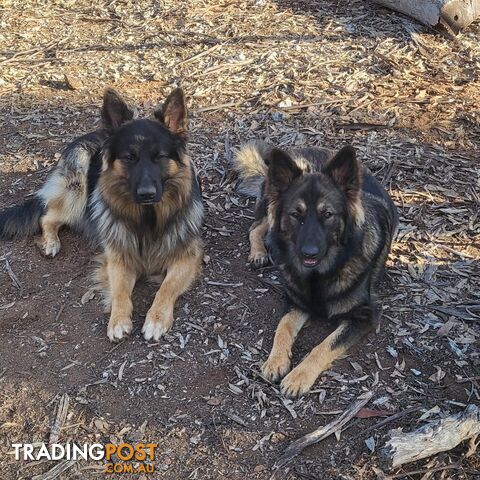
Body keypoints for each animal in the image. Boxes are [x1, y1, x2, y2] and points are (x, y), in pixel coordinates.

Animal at [0, 88, 203, 344]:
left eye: (160, 157)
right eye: (129, 157)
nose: (146, 193)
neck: (147, 218)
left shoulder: (186, 258)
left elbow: (166, 288)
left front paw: (156, 320)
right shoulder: (117, 259)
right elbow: (120, 291)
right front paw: (118, 321)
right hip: (78, 189)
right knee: (47, 217)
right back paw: (51, 243)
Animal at [235, 142, 398, 398]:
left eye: (327, 214)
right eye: (296, 214)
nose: (308, 253)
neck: (319, 276)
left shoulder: (366, 315)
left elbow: (324, 345)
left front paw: (298, 377)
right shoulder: (296, 303)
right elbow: (282, 328)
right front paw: (275, 361)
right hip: (271, 210)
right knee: (258, 226)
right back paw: (259, 252)